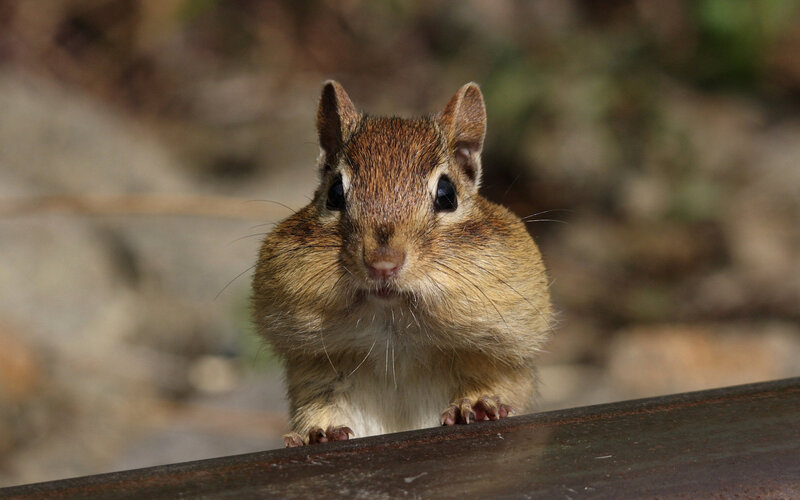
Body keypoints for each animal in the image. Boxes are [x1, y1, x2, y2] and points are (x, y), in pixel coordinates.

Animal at [252, 81, 552, 447]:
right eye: (335, 193)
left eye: (447, 194)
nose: (383, 264)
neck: (395, 334)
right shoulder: (319, 374)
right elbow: (320, 407)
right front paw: (317, 433)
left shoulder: (499, 358)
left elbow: (497, 386)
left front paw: (477, 405)